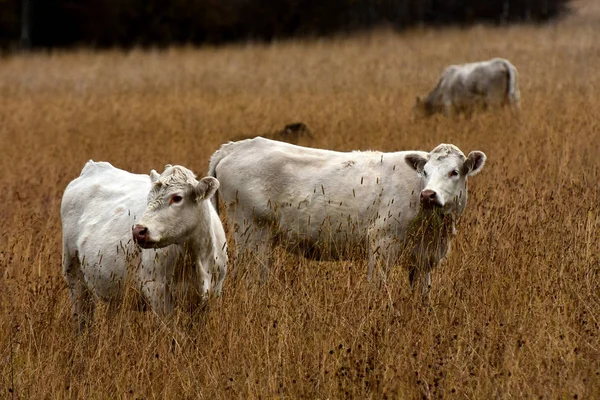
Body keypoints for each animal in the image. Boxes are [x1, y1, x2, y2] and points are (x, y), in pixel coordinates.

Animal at [61, 161, 227, 330]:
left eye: (177, 198)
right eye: (149, 198)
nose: (138, 231)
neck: (196, 257)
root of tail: (93, 167)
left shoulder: (213, 293)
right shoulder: (157, 290)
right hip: (73, 272)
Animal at [209, 138, 486, 296]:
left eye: (455, 172)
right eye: (425, 172)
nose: (428, 194)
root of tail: (234, 147)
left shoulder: (424, 259)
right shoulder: (381, 244)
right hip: (252, 233)